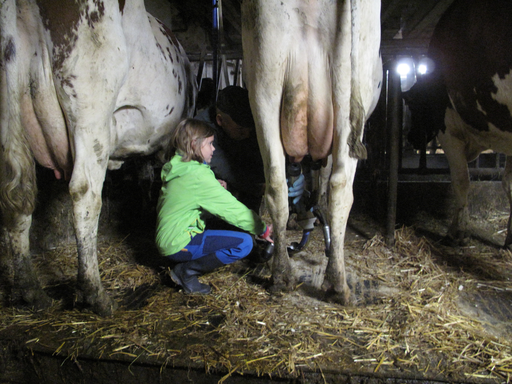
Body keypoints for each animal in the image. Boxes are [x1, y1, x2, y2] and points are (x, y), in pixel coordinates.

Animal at [0, 0, 196, 316]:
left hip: (10, 112)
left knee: (17, 194)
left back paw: (30, 291)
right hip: (91, 109)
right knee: (85, 194)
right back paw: (95, 293)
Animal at [242, 0, 382, 306]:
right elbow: (324, 184)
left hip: (264, 78)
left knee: (275, 185)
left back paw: (281, 275)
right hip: (348, 84)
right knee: (340, 188)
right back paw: (338, 285)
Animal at [404, 0, 512, 246]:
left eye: (414, 104)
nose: (411, 137)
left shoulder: (448, 131)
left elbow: (462, 180)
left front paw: (457, 231)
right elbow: (508, 183)